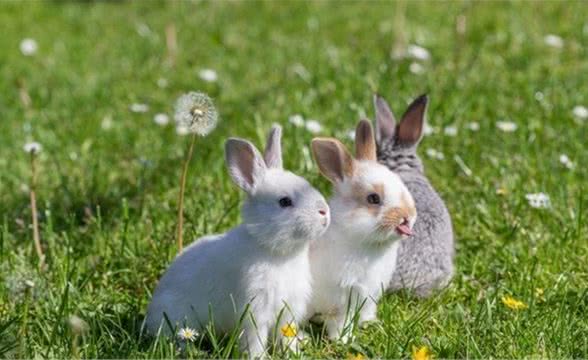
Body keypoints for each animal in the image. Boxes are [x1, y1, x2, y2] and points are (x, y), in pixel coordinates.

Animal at [144, 125, 330, 356]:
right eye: (284, 201)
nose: (325, 212)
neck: (273, 250)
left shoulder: (288, 310)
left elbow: (286, 334)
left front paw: (294, 351)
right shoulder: (254, 310)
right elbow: (254, 339)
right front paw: (259, 357)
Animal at [308, 119, 418, 342]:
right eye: (373, 199)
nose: (407, 217)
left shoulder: (371, 293)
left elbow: (366, 311)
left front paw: (370, 323)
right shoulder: (341, 298)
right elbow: (340, 321)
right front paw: (342, 340)